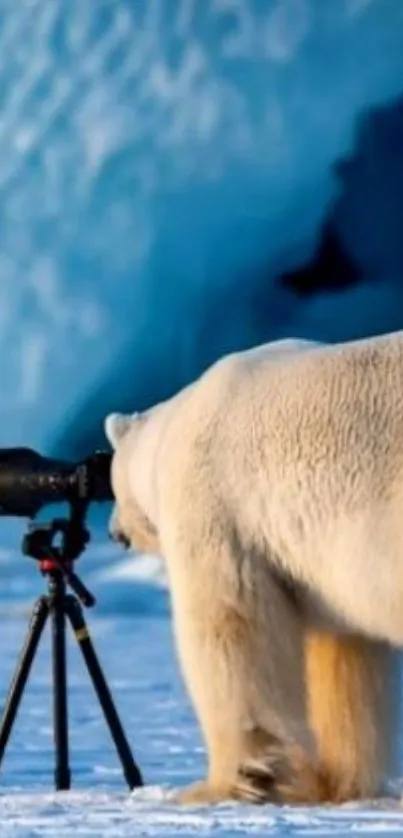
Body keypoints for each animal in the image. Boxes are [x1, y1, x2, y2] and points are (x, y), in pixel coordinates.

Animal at [105, 334, 403, 808]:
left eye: (113, 484)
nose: (115, 532)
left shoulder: (217, 510)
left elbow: (230, 629)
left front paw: (223, 785)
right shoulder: (321, 567)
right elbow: (344, 656)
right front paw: (328, 783)